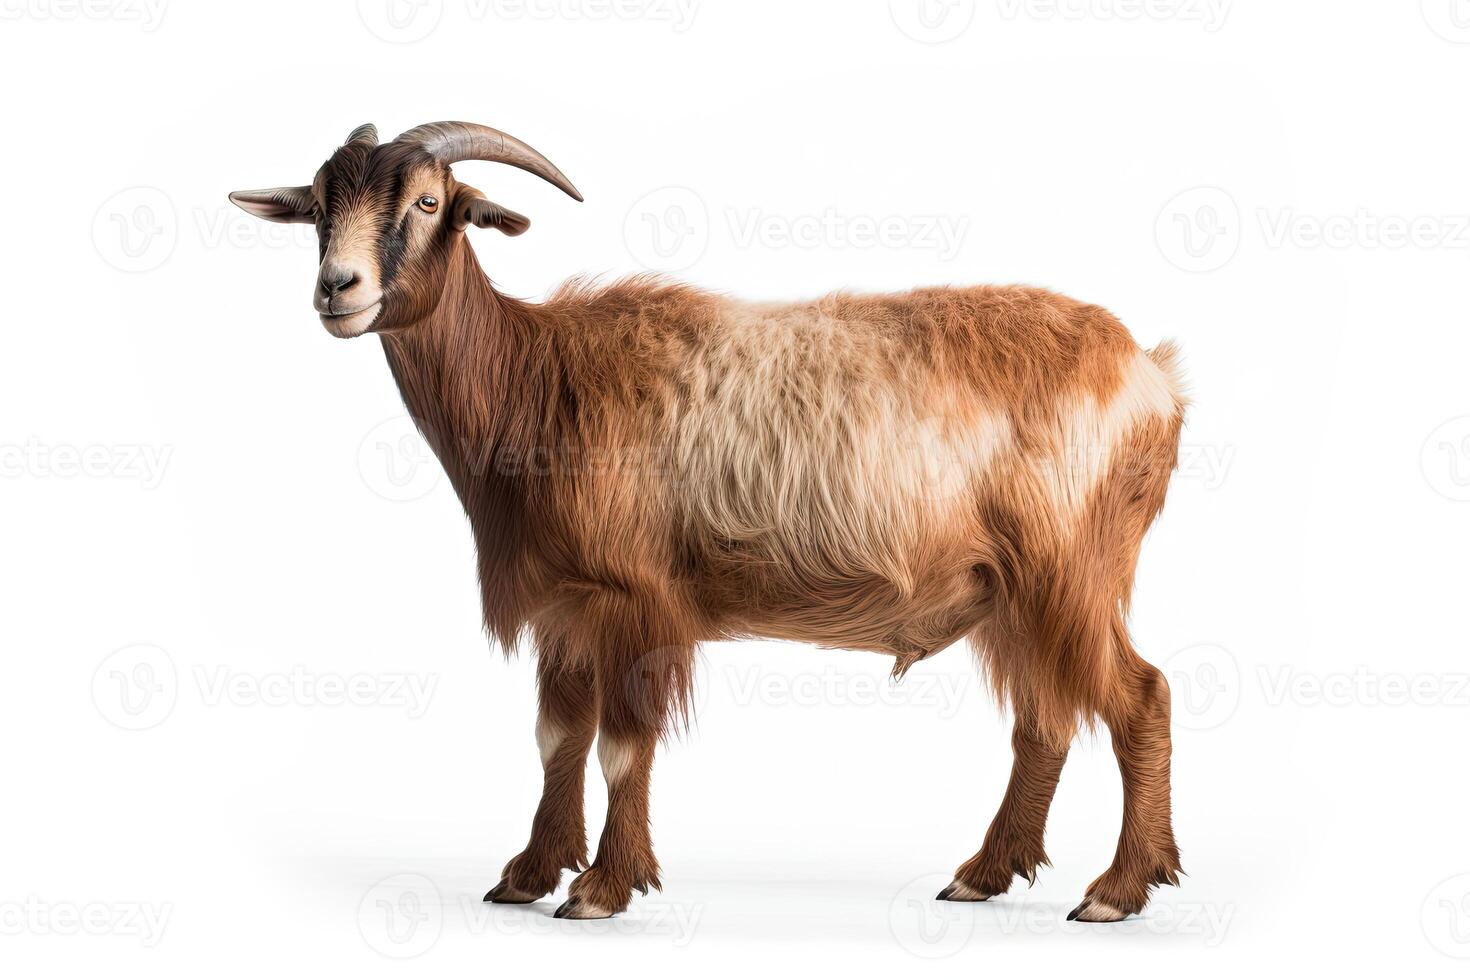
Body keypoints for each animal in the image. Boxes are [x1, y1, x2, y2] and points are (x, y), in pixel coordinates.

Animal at [232, 119, 1193, 922]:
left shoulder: (636, 600)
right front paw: (527, 875)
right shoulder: (567, 607)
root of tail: (1151, 375)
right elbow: (556, 737)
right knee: (1045, 721)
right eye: (319, 206)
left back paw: (1117, 890)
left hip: (1071, 572)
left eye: (429, 203)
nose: (338, 289)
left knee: (1141, 696)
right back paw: (984, 876)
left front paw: (602, 888)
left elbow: (621, 744)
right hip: (1008, 593)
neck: (538, 379)